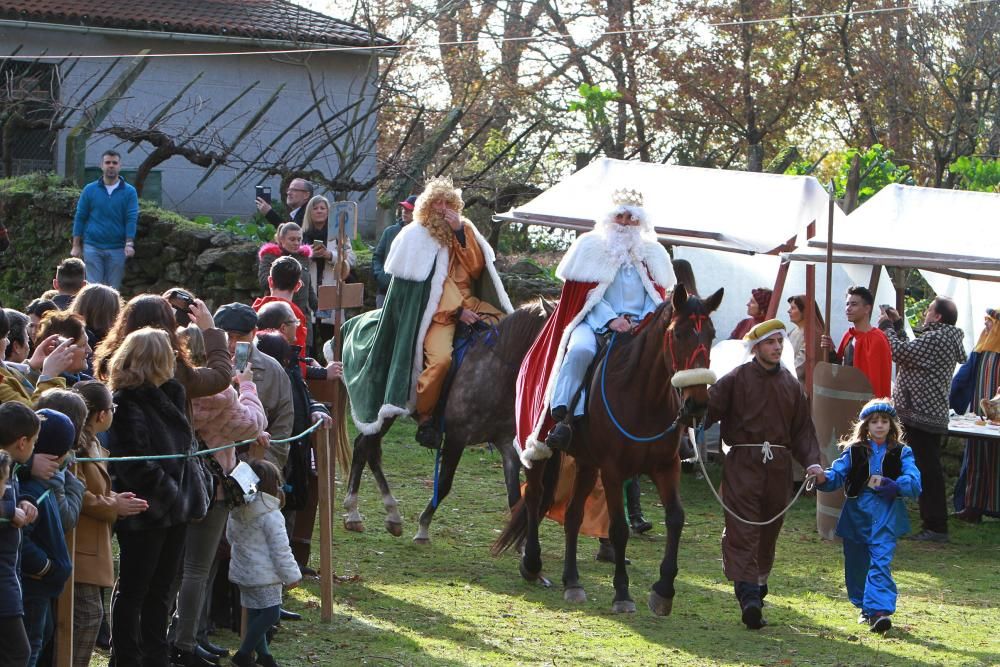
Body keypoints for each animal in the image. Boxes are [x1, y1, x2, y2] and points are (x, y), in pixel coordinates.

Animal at [340, 302, 552, 544]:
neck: (496, 371)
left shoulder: (506, 443)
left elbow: (515, 496)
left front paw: (523, 545)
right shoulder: (456, 437)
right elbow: (443, 485)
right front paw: (423, 529)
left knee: (369, 450)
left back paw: (389, 515)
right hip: (382, 409)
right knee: (364, 447)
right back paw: (355, 513)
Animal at [496, 284, 724, 616]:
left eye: (711, 333)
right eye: (678, 333)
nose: (697, 404)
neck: (643, 396)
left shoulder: (666, 466)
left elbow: (676, 518)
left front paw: (663, 590)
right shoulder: (614, 471)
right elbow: (618, 529)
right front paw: (622, 593)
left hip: (588, 464)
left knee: (574, 515)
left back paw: (572, 582)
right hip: (539, 448)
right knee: (535, 496)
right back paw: (532, 563)